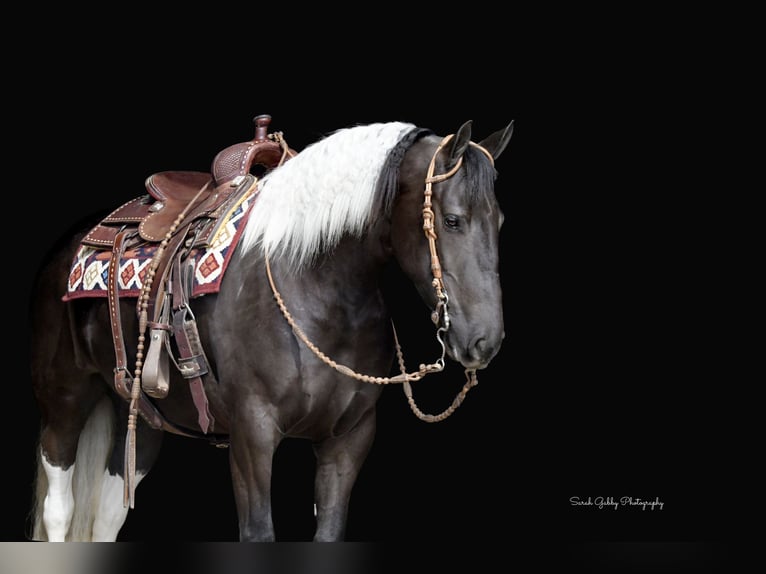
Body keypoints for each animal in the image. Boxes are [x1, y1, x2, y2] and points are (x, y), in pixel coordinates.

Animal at [27, 115, 514, 542]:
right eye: (452, 220)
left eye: (499, 222)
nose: (484, 342)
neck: (314, 284)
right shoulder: (252, 433)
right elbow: (258, 532)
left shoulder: (348, 441)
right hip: (64, 399)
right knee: (59, 507)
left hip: (143, 418)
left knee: (108, 513)